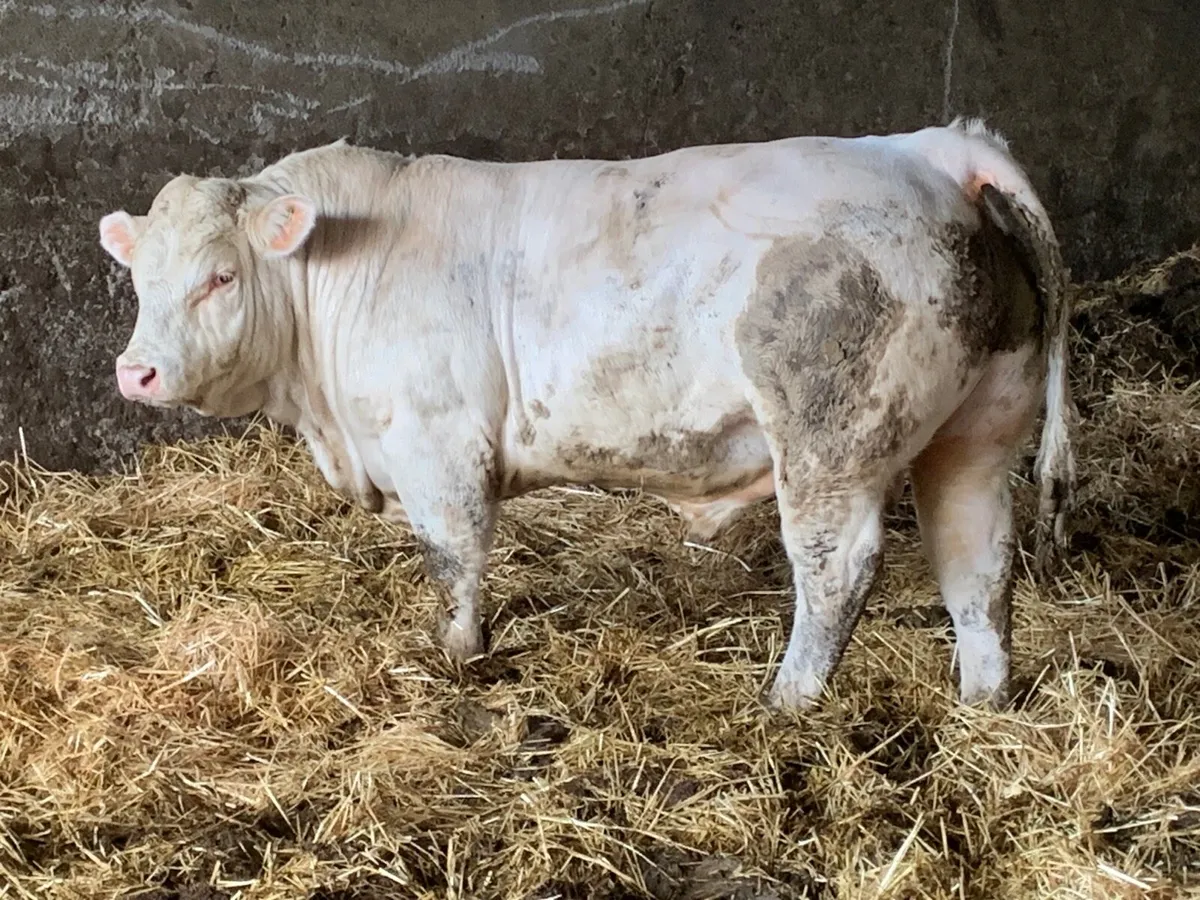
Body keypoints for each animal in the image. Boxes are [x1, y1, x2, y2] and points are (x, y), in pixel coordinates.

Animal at [98, 118, 1075, 711]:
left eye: (220, 275)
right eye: (139, 277)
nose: (136, 372)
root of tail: (929, 148)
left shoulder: (438, 444)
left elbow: (454, 560)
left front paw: (457, 655)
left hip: (831, 441)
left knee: (838, 568)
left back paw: (789, 700)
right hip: (981, 430)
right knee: (977, 559)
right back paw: (982, 701)